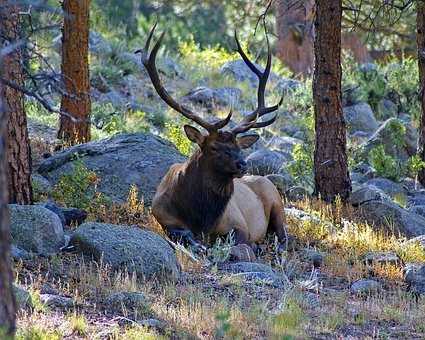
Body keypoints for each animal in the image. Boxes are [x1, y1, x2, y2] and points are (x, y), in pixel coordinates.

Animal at [137, 24, 286, 255]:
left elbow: (240, 241)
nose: (243, 165)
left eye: (238, 147)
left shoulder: (239, 223)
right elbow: (183, 235)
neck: (201, 218)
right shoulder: (163, 217)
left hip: (277, 201)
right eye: (214, 147)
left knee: (284, 235)